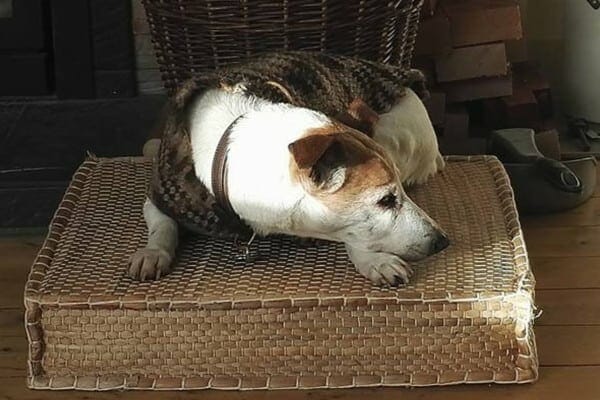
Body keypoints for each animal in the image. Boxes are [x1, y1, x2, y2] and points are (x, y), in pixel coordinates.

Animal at [130, 51, 450, 286]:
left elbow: (356, 236)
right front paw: (153, 253)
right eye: (385, 200)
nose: (442, 242)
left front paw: (374, 260)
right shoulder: (159, 198)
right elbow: (162, 226)